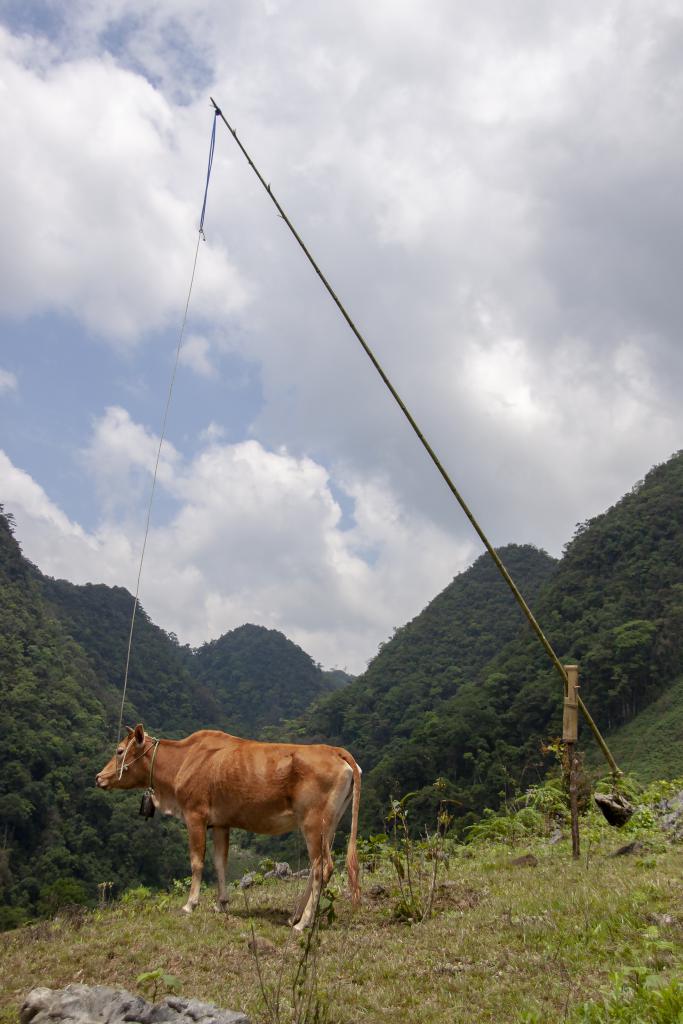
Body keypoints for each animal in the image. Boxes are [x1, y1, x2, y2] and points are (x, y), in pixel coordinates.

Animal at [98, 724, 362, 933]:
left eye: (119, 751)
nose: (99, 777)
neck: (182, 762)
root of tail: (334, 750)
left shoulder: (195, 815)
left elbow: (197, 862)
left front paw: (190, 904)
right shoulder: (221, 823)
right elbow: (219, 862)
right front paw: (221, 903)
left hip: (313, 823)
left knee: (322, 868)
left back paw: (303, 922)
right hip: (329, 825)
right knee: (317, 866)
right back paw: (295, 916)